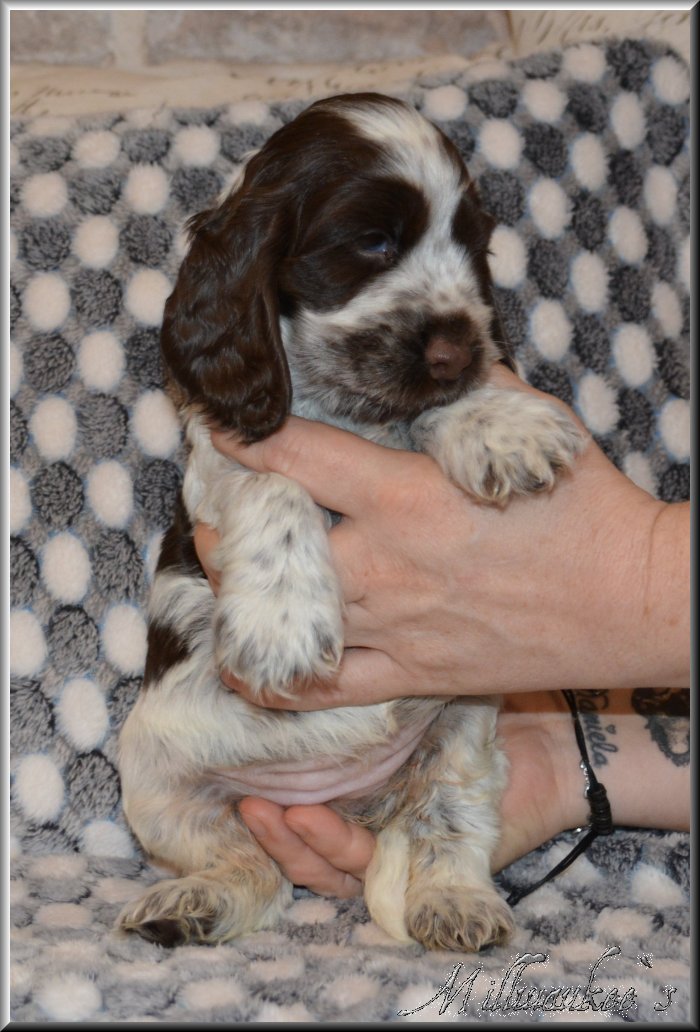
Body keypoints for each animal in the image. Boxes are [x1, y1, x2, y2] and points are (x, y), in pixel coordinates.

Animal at [117, 93, 585, 951]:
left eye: (473, 247)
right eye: (372, 241)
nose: (457, 350)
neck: (346, 408)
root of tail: (344, 801)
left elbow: (432, 412)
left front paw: (497, 420)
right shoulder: (222, 457)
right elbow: (276, 485)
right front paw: (281, 623)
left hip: (464, 725)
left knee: (442, 818)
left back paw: (452, 902)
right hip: (152, 768)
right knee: (250, 866)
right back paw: (194, 903)